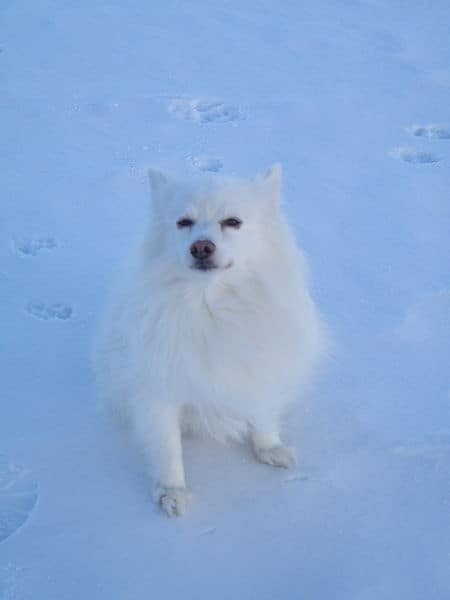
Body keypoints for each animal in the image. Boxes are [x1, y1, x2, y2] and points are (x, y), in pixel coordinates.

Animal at [95, 164, 326, 516]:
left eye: (232, 222)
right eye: (183, 222)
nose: (201, 247)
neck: (210, 302)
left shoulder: (260, 366)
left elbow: (263, 414)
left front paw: (268, 448)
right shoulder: (158, 386)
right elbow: (167, 447)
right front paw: (172, 491)